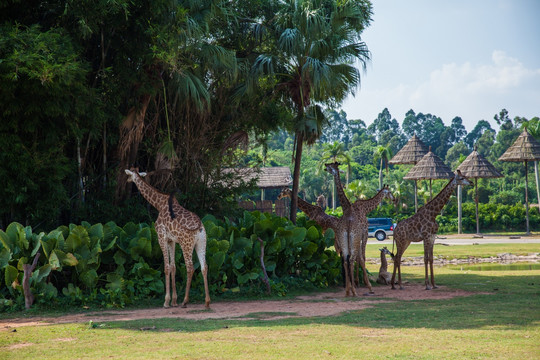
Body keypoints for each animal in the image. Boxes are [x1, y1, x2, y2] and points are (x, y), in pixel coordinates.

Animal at [125, 167, 210, 308]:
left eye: (129, 174)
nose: (127, 181)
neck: (159, 204)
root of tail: (199, 228)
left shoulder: (161, 237)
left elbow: (166, 268)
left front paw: (166, 301)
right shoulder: (172, 240)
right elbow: (173, 267)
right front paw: (174, 301)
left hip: (187, 245)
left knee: (190, 267)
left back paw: (185, 301)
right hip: (201, 243)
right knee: (204, 267)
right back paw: (207, 302)